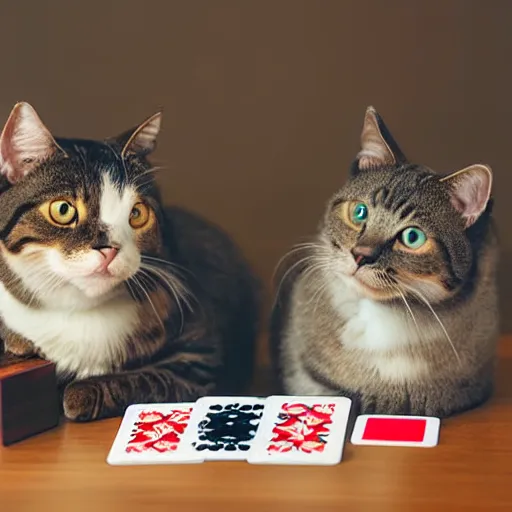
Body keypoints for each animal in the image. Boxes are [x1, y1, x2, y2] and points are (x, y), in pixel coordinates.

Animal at [0, 102, 258, 422]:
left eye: (136, 213)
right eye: (63, 210)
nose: (109, 249)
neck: (79, 310)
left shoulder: (201, 355)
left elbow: (152, 378)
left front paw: (80, 393)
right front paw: (19, 344)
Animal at [272, 106, 500, 418]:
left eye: (412, 237)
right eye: (359, 212)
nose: (360, 255)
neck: (389, 314)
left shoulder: (463, 387)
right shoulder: (309, 377)